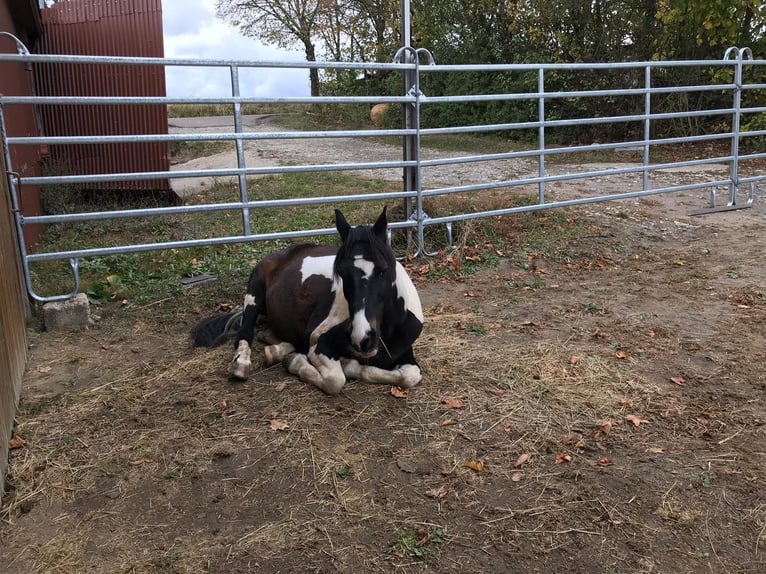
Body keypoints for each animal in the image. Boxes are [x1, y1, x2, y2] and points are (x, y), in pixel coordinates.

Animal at [192, 207, 424, 395]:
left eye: (383, 270)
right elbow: (335, 380)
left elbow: (410, 375)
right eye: (341, 273)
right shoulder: (318, 343)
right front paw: (296, 361)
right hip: (253, 295)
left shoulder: (405, 353)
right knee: (245, 332)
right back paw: (242, 364)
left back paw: (276, 348)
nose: (361, 338)